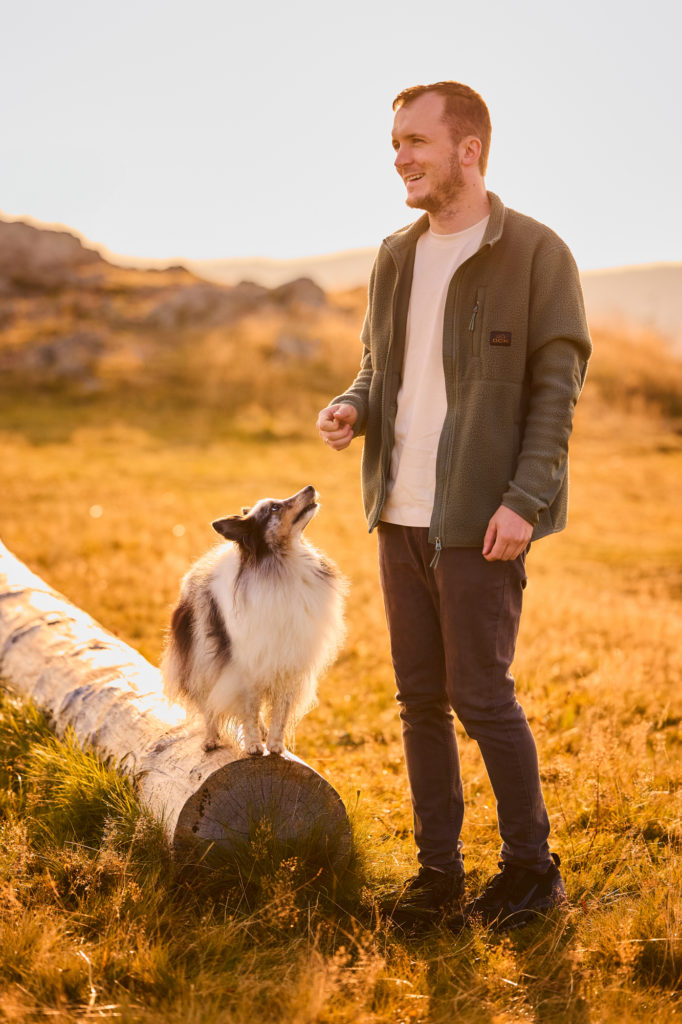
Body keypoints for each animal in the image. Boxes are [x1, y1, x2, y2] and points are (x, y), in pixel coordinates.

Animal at [160, 483, 346, 757]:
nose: (310, 487)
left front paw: (276, 746)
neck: (282, 563)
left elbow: (280, 711)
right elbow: (247, 710)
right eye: (275, 508)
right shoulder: (244, 664)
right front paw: (253, 746)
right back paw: (210, 740)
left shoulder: (288, 661)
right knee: (208, 705)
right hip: (202, 659)